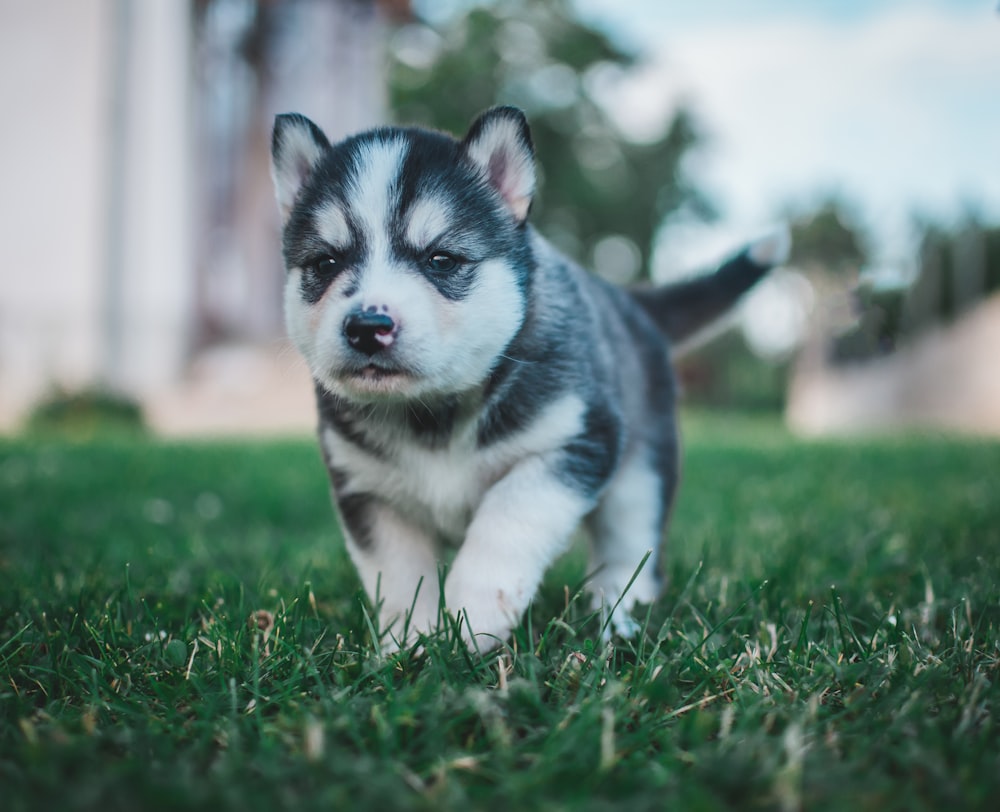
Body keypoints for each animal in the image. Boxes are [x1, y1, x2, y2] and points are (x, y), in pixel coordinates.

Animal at [274, 108, 788, 652]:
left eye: (441, 259)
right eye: (326, 262)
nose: (367, 326)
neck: (436, 412)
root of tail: (629, 302)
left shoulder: (575, 441)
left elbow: (507, 517)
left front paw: (472, 618)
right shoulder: (368, 490)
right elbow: (399, 574)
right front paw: (410, 642)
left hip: (640, 479)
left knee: (631, 553)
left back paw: (617, 618)